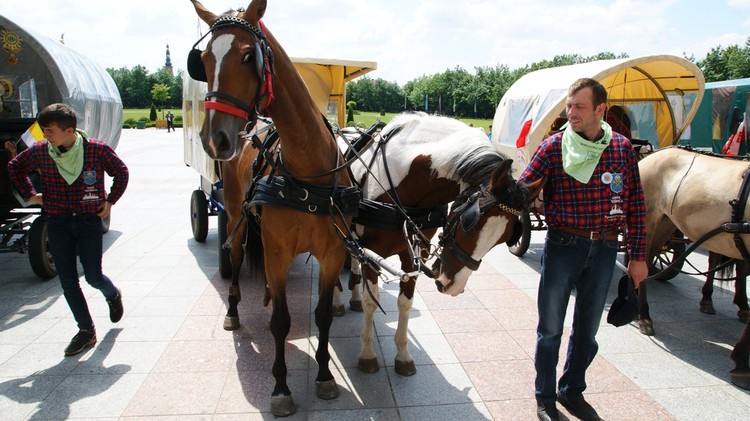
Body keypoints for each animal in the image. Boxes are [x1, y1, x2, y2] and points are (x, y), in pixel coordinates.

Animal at [188, 0, 358, 414]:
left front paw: (325, 376)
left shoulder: (332, 253)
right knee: (236, 253)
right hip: (235, 212)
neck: (309, 173)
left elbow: (323, 316)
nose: (214, 138)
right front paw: (281, 387)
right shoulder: (278, 251)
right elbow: (281, 322)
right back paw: (234, 310)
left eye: (249, 56)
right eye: (203, 60)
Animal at [346, 111, 548, 374]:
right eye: (468, 222)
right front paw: (367, 353)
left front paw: (403, 355)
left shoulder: (414, 253)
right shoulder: (371, 251)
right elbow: (372, 301)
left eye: (505, 238)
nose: (452, 286)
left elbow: (405, 303)